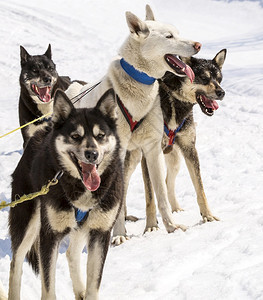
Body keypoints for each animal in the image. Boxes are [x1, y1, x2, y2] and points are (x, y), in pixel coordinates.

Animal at [8, 88, 123, 298]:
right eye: (75, 136)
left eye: (100, 135)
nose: (92, 154)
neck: (81, 189)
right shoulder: (49, 236)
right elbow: (48, 288)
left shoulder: (100, 233)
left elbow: (93, 286)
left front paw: (87, 293)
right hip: (27, 224)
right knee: (16, 264)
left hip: (79, 228)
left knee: (71, 253)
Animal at [67, 4, 202, 244]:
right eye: (169, 36)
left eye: (178, 32)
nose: (198, 44)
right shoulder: (117, 155)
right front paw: (119, 234)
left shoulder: (152, 150)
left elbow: (161, 194)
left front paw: (171, 226)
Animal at [140, 49, 227, 232]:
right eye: (204, 78)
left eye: (219, 78)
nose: (222, 92)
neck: (173, 100)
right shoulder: (147, 153)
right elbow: (150, 196)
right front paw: (151, 226)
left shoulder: (190, 149)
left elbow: (200, 189)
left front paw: (207, 215)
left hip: (175, 160)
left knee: (167, 182)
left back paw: (175, 208)